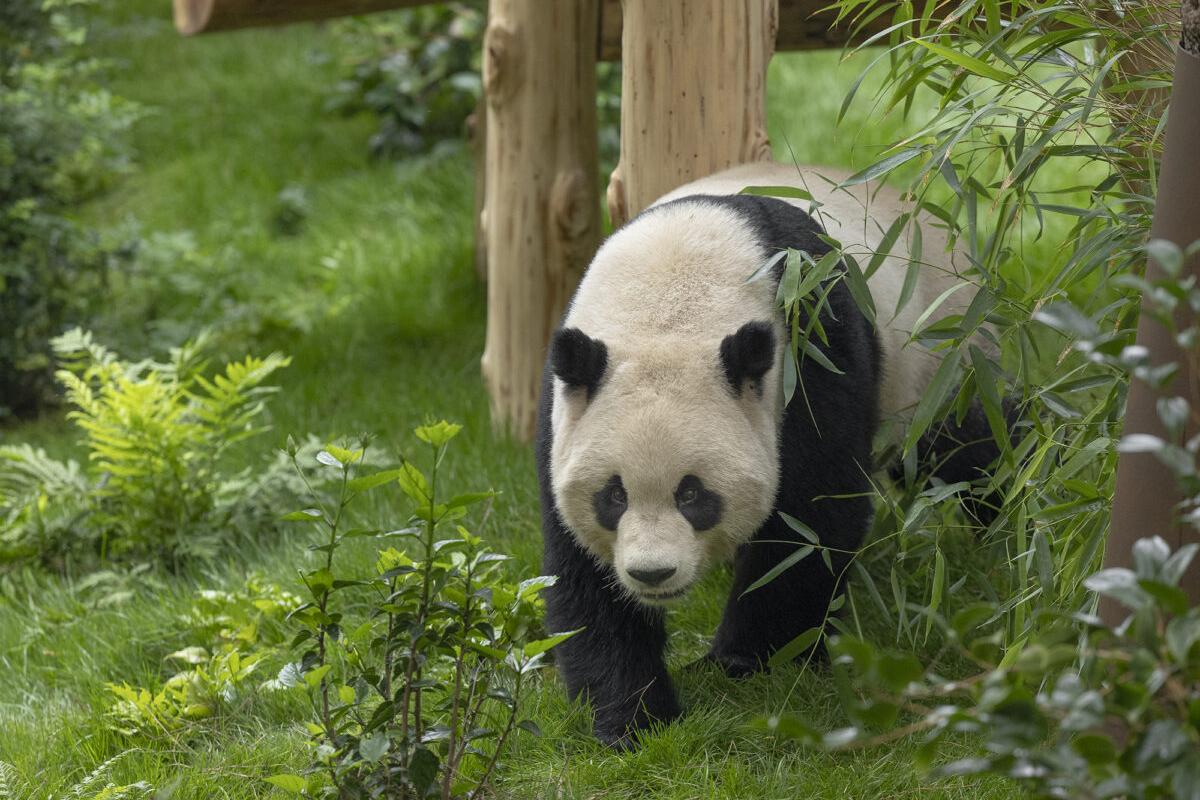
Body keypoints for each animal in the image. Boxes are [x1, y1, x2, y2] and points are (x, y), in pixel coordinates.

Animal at [535, 161, 998, 747]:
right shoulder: (565, 408)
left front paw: (747, 661)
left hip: (941, 357)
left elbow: (809, 520)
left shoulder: (811, 343)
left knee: (970, 450)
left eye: (693, 495)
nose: (652, 574)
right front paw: (632, 718)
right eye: (613, 497)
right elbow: (582, 571)